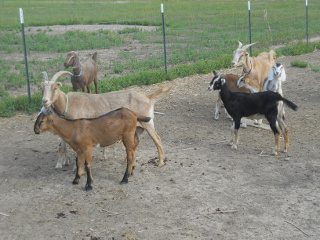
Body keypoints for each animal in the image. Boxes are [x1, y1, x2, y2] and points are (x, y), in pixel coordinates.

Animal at [41, 71, 174, 168]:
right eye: (43, 89)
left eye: (55, 88)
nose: (44, 101)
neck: (69, 103)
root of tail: (148, 96)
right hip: (137, 127)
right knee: (135, 142)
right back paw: (128, 160)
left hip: (148, 122)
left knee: (157, 139)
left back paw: (160, 162)